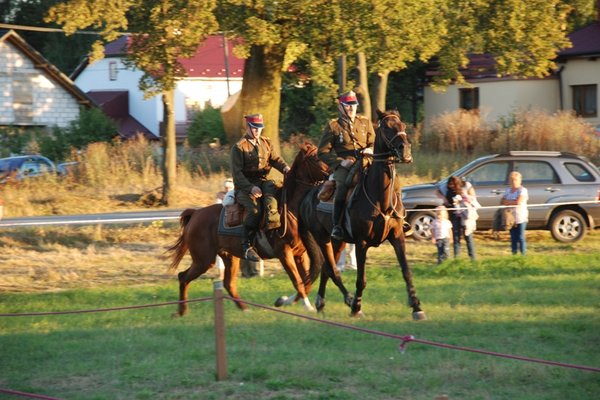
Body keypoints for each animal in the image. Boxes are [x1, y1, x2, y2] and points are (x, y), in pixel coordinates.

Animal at [166, 142, 330, 318]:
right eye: (317, 158)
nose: (332, 173)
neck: (288, 208)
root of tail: (195, 214)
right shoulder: (284, 253)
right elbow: (298, 281)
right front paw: (295, 303)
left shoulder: (299, 254)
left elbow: (306, 282)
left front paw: (293, 303)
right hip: (203, 260)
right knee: (183, 277)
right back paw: (181, 311)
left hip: (229, 257)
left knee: (228, 283)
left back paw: (244, 308)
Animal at [298, 108, 424, 318]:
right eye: (386, 127)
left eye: (403, 125)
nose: (405, 150)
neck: (380, 200)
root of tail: (307, 197)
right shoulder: (361, 243)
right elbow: (361, 279)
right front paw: (356, 308)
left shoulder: (397, 236)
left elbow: (407, 271)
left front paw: (416, 307)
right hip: (323, 238)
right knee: (331, 269)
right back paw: (341, 301)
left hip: (338, 241)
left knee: (326, 269)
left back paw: (321, 303)